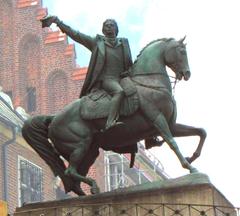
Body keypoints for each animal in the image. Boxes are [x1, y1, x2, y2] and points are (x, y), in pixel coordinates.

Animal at [21, 37, 207, 196]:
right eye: (181, 51)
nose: (187, 73)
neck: (149, 83)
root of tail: (53, 119)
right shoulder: (158, 120)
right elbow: (173, 143)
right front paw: (190, 167)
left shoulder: (172, 125)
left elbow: (201, 132)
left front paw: (193, 157)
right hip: (81, 144)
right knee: (70, 171)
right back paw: (93, 186)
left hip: (90, 151)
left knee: (73, 177)